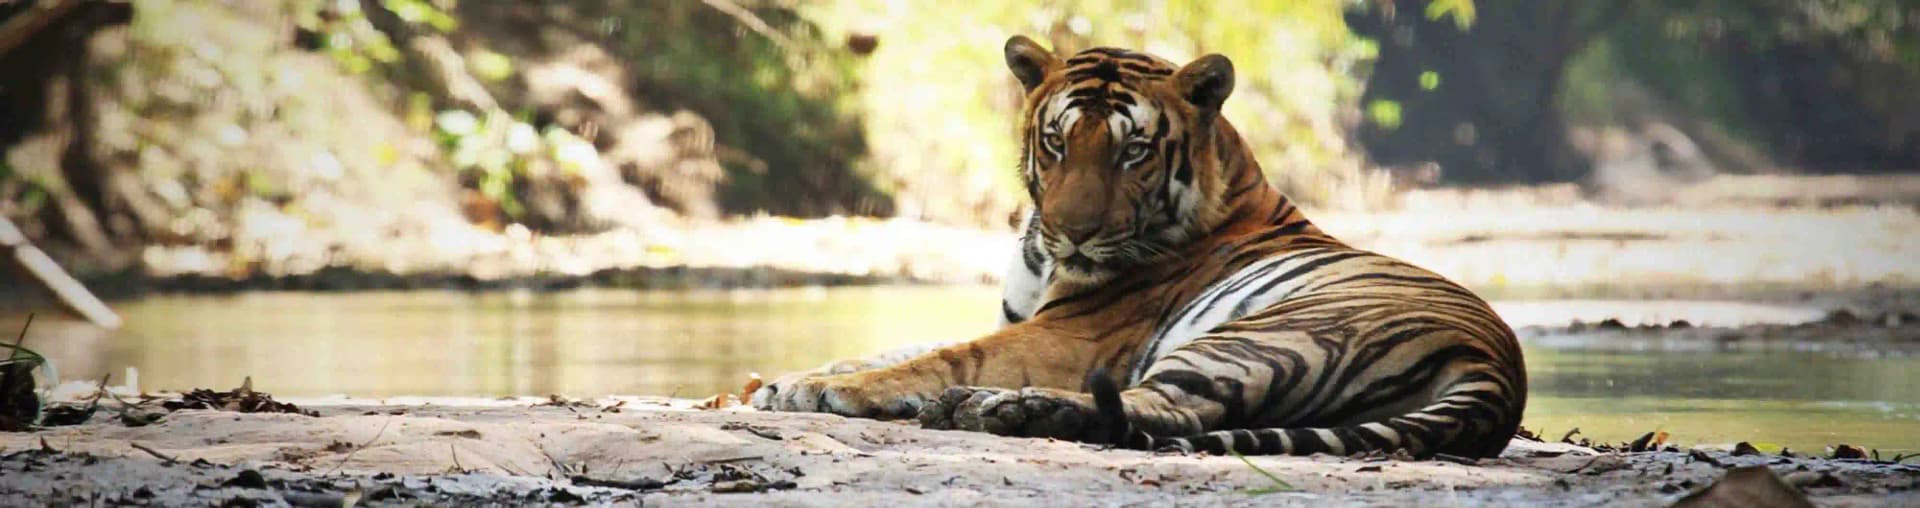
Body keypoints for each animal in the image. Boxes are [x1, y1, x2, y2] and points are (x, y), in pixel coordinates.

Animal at [751, 35, 1527, 458]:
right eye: (1056, 142)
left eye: (1134, 152)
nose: (1074, 231)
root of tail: (1500, 375)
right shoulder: (1018, 318)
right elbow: (896, 347)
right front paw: (792, 378)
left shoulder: (1067, 335)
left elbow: (937, 357)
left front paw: (826, 390)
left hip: (1266, 335)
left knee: (1167, 408)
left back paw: (996, 407)